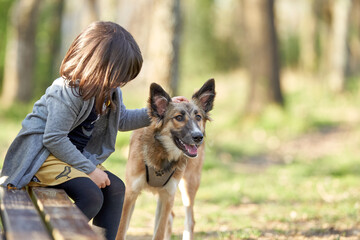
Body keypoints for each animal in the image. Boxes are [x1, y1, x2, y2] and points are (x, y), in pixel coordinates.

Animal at [116, 79, 215, 239]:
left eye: (198, 117)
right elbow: (120, 231)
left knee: (189, 221)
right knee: (172, 218)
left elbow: (159, 233)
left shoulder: (168, 195)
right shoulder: (130, 193)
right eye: (178, 117)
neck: (162, 153)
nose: (198, 137)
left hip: (188, 184)